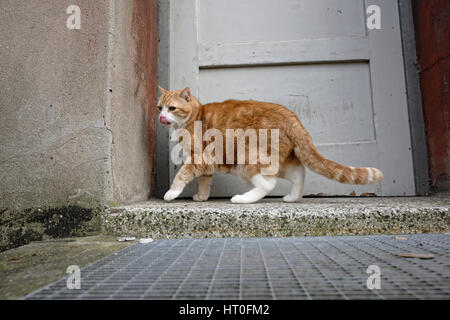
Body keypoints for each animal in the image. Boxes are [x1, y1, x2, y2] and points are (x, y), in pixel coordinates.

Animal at [157, 86, 384, 204]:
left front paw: (171, 194)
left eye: (172, 108)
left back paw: (243, 199)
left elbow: (182, 175)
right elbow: (204, 182)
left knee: (268, 184)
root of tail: (293, 118)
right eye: (159, 107)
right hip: (281, 161)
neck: (193, 117)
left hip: (247, 160)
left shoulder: (200, 158)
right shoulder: (206, 165)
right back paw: (292, 197)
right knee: (298, 174)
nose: (160, 116)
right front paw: (201, 197)